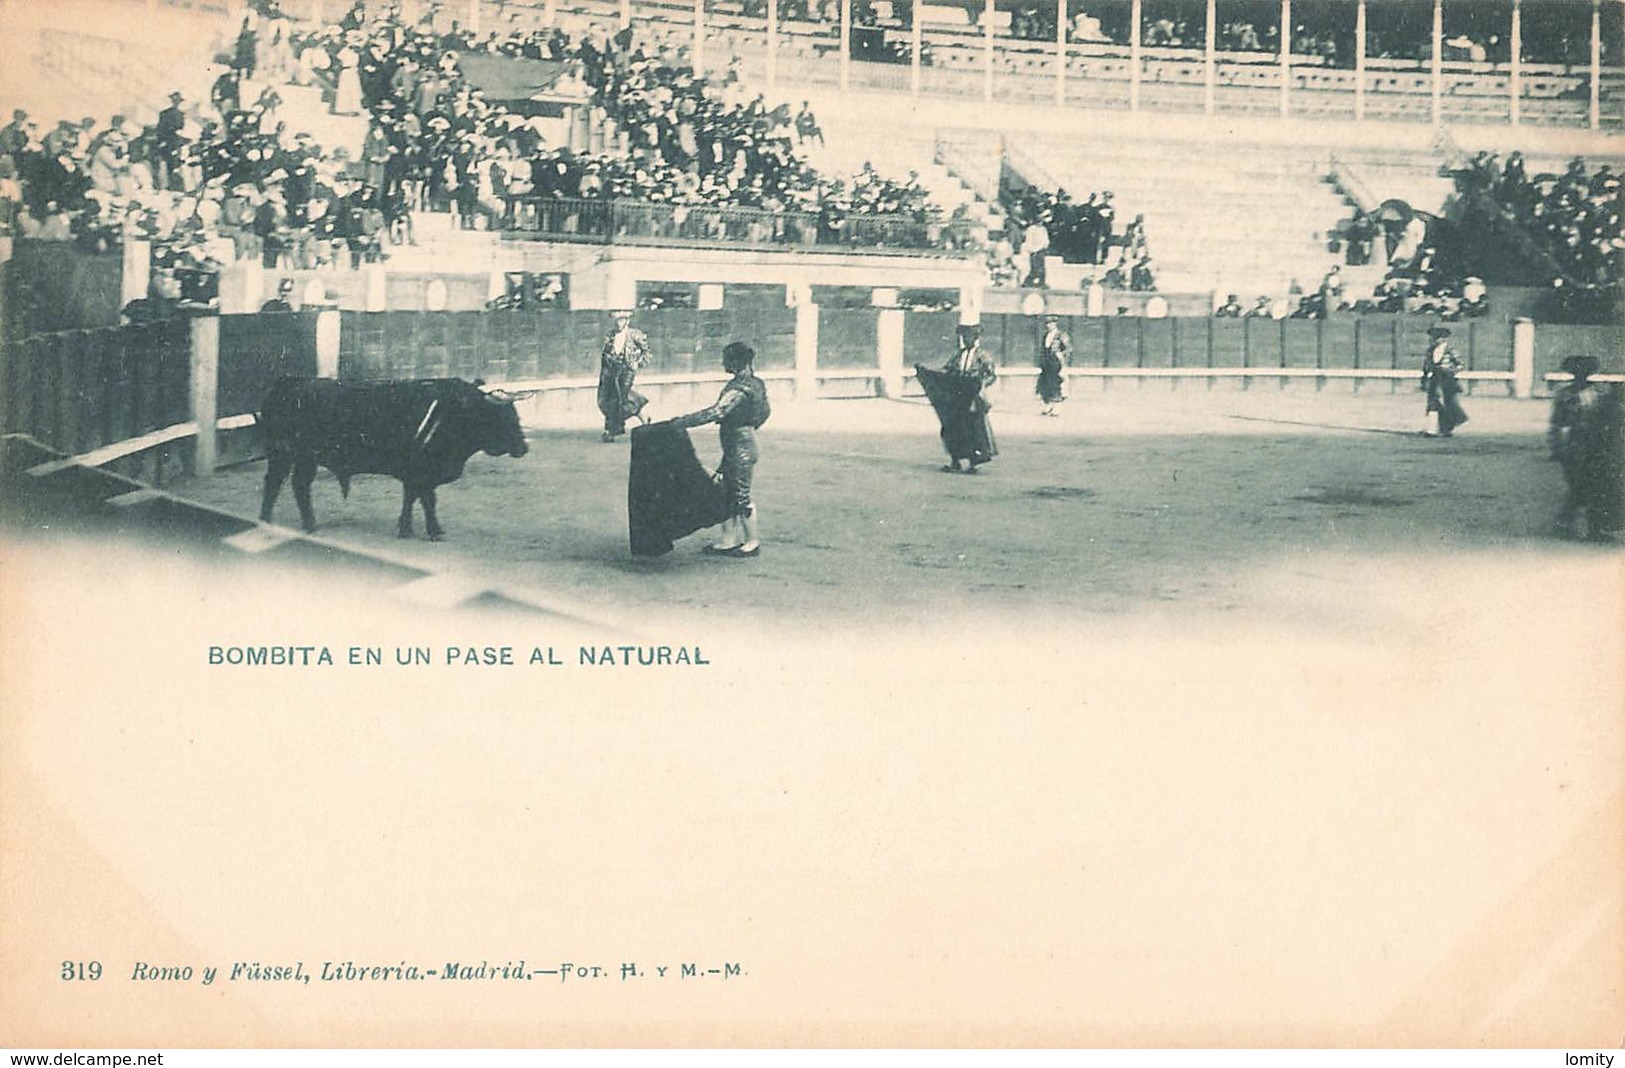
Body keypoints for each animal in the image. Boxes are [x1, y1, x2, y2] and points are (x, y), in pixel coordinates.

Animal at [256, 377, 529, 542]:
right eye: (503, 417)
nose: (523, 448)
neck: (454, 413)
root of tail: (290, 382)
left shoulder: (416, 474)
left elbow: (413, 499)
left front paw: (409, 528)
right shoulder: (422, 471)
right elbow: (427, 500)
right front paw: (430, 531)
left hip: (290, 456)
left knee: (282, 484)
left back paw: (270, 520)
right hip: (294, 455)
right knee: (290, 484)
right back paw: (305, 524)